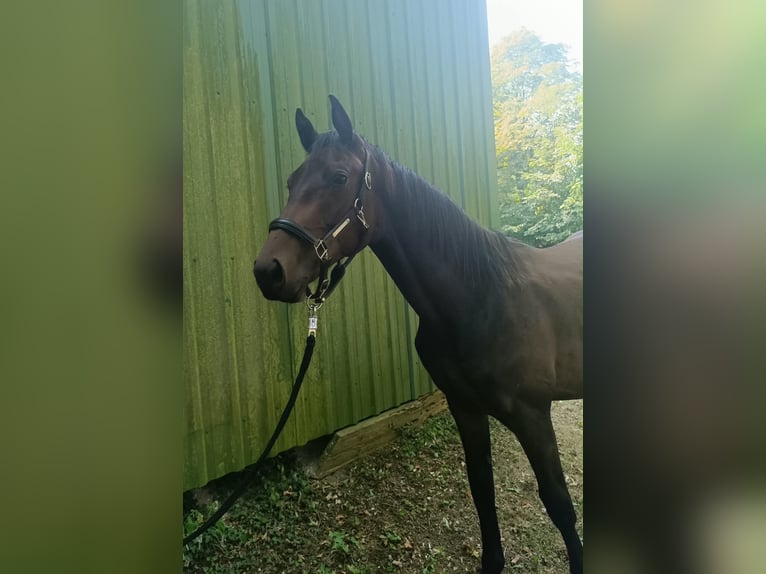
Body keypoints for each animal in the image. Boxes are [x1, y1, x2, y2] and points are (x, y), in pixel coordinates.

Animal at [254, 95, 583, 574]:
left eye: (339, 177)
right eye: (292, 180)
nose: (268, 271)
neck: (480, 297)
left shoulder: (534, 416)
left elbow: (559, 506)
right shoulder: (465, 407)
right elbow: (481, 491)